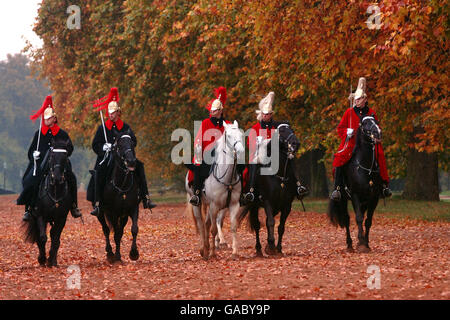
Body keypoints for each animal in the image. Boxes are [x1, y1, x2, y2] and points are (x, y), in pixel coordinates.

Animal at [97, 130, 140, 262]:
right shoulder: (113, 212)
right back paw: (110, 253)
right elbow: (115, 234)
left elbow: (133, 230)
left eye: (132, 143)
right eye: (119, 145)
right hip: (101, 213)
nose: (131, 161)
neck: (122, 185)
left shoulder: (132, 209)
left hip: (123, 216)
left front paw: (134, 253)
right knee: (106, 229)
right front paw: (116, 256)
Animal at [185, 120, 244, 260]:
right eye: (229, 136)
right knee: (201, 225)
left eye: (241, 134)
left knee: (206, 223)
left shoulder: (233, 205)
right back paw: (204, 250)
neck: (227, 177)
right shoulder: (214, 205)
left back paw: (206, 248)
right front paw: (212, 253)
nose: (240, 151)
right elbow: (213, 229)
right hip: (198, 204)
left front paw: (234, 252)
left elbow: (233, 227)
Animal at [239, 124, 302, 256]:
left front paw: (278, 248)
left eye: (292, 129)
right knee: (257, 225)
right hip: (254, 205)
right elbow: (271, 222)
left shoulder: (286, 205)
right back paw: (259, 249)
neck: (279, 174)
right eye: (281, 131)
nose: (295, 143)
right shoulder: (267, 201)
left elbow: (281, 226)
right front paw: (272, 246)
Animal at [328, 115, 382, 252]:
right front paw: (361, 242)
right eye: (365, 123)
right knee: (346, 219)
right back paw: (349, 244)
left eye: (376, 121)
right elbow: (358, 218)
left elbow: (368, 220)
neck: (366, 167)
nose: (377, 133)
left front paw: (365, 243)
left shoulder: (373, 198)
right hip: (343, 198)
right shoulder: (355, 195)